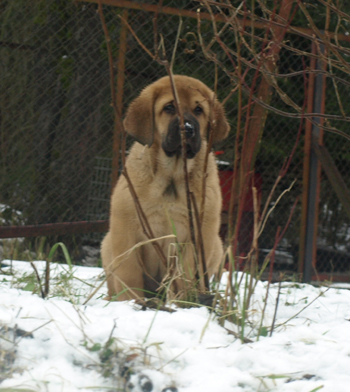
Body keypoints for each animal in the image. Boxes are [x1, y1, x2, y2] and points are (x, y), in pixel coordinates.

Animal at [101, 75, 230, 300]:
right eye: (169, 107)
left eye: (199, 110)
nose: (187, 129)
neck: (171, 177)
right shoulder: (125, 230)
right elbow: (129, 274)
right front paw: (131, 302)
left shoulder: (199, 234)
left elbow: (187, 274)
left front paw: (186, 301)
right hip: (107, 243)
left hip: (217, 246)